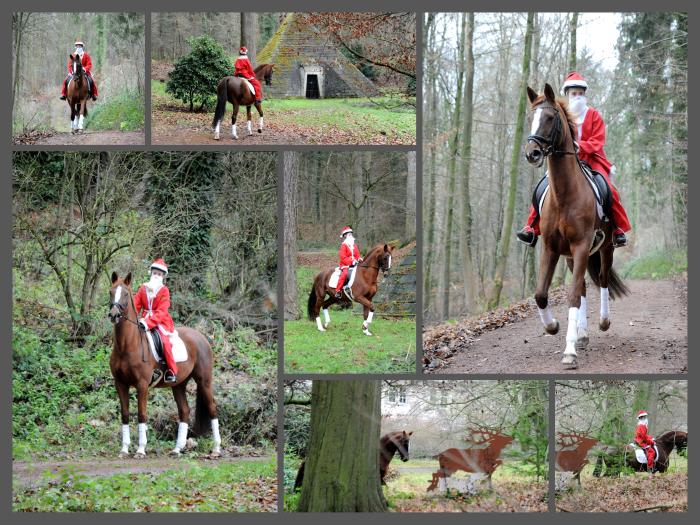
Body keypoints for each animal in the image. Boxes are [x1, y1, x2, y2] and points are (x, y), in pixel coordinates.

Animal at [108, 272, 219, 456]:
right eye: (111, 292)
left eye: (125, 294)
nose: (114, 315)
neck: (127, 345)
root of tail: (201, 337)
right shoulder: (120, 384)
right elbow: (125, 415)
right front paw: (124, 449)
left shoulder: (142, 385)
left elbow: (142, 414)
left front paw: (141, 450)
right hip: (179, 384)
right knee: (184, 411)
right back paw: (177, 449)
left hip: (204, 381)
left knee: (212, 409)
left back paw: (216, 448)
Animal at [524, 84, 628, 366]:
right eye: (531, 118)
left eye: (550, 118)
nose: (532, 153)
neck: (564, 195)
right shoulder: (551, 248)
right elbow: (541, 294)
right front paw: (553, 326)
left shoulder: (582, 245)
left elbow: (572, 294)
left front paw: (569, 349)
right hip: (570, 256)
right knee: (581, 286)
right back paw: (581, 333)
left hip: (604, 248)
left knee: (601, 280)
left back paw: (602, 321)